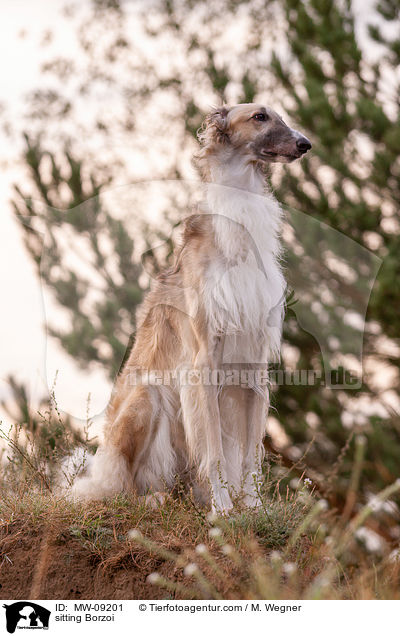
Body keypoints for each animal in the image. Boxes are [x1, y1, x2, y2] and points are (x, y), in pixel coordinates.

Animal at [70, 104, 310, 512]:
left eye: (281, 116)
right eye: (260, 116)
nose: (305, 144)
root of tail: (101, 473)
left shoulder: (254, 365)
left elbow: (251, 456)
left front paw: (253, 508)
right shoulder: (203, 363)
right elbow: (213, 453)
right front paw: (223, 509)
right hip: (148, 398)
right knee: (124, 490)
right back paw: (151, 500)